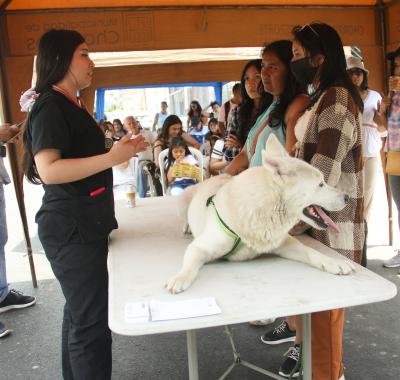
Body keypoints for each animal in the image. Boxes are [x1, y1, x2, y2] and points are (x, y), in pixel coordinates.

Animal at [166, 134, 356, 294]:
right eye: (321, 184)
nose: (348, 198)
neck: (265, 209)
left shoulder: (285, 243)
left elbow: (311, 251)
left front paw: (335, 262)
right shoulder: (200, 247)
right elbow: (189, 266)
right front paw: (179, 278)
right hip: (181, 203)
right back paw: (187, 227)